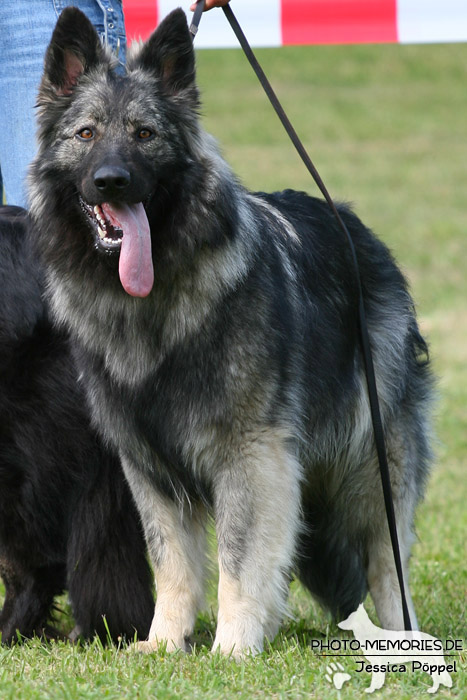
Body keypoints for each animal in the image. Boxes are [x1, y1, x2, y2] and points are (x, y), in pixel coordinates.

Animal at [27, 8, 434, 660]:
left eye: (145, 134)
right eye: (86, 134)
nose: (112, 181)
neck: (153, 304)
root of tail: (357, 230)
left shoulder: (249, 454)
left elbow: (242, 559)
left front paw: (233, 646)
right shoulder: (148, 464)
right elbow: (172, 562)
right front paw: (165, 643)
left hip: (372, 462)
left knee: (385, 560)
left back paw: (401, 641)